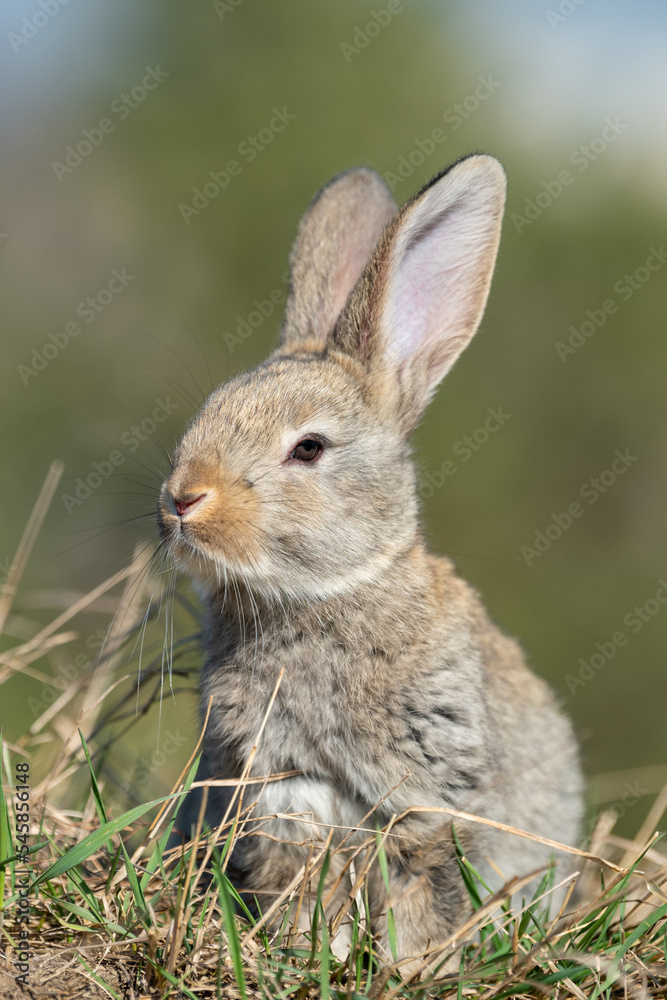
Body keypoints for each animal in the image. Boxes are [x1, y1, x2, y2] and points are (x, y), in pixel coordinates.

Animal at [158, 154, 584, 968]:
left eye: (309, 448)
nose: (181, 500)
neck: (325, 593)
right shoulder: (282, 793)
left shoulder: (427, 799)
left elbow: (419, 895)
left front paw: (408, 966)